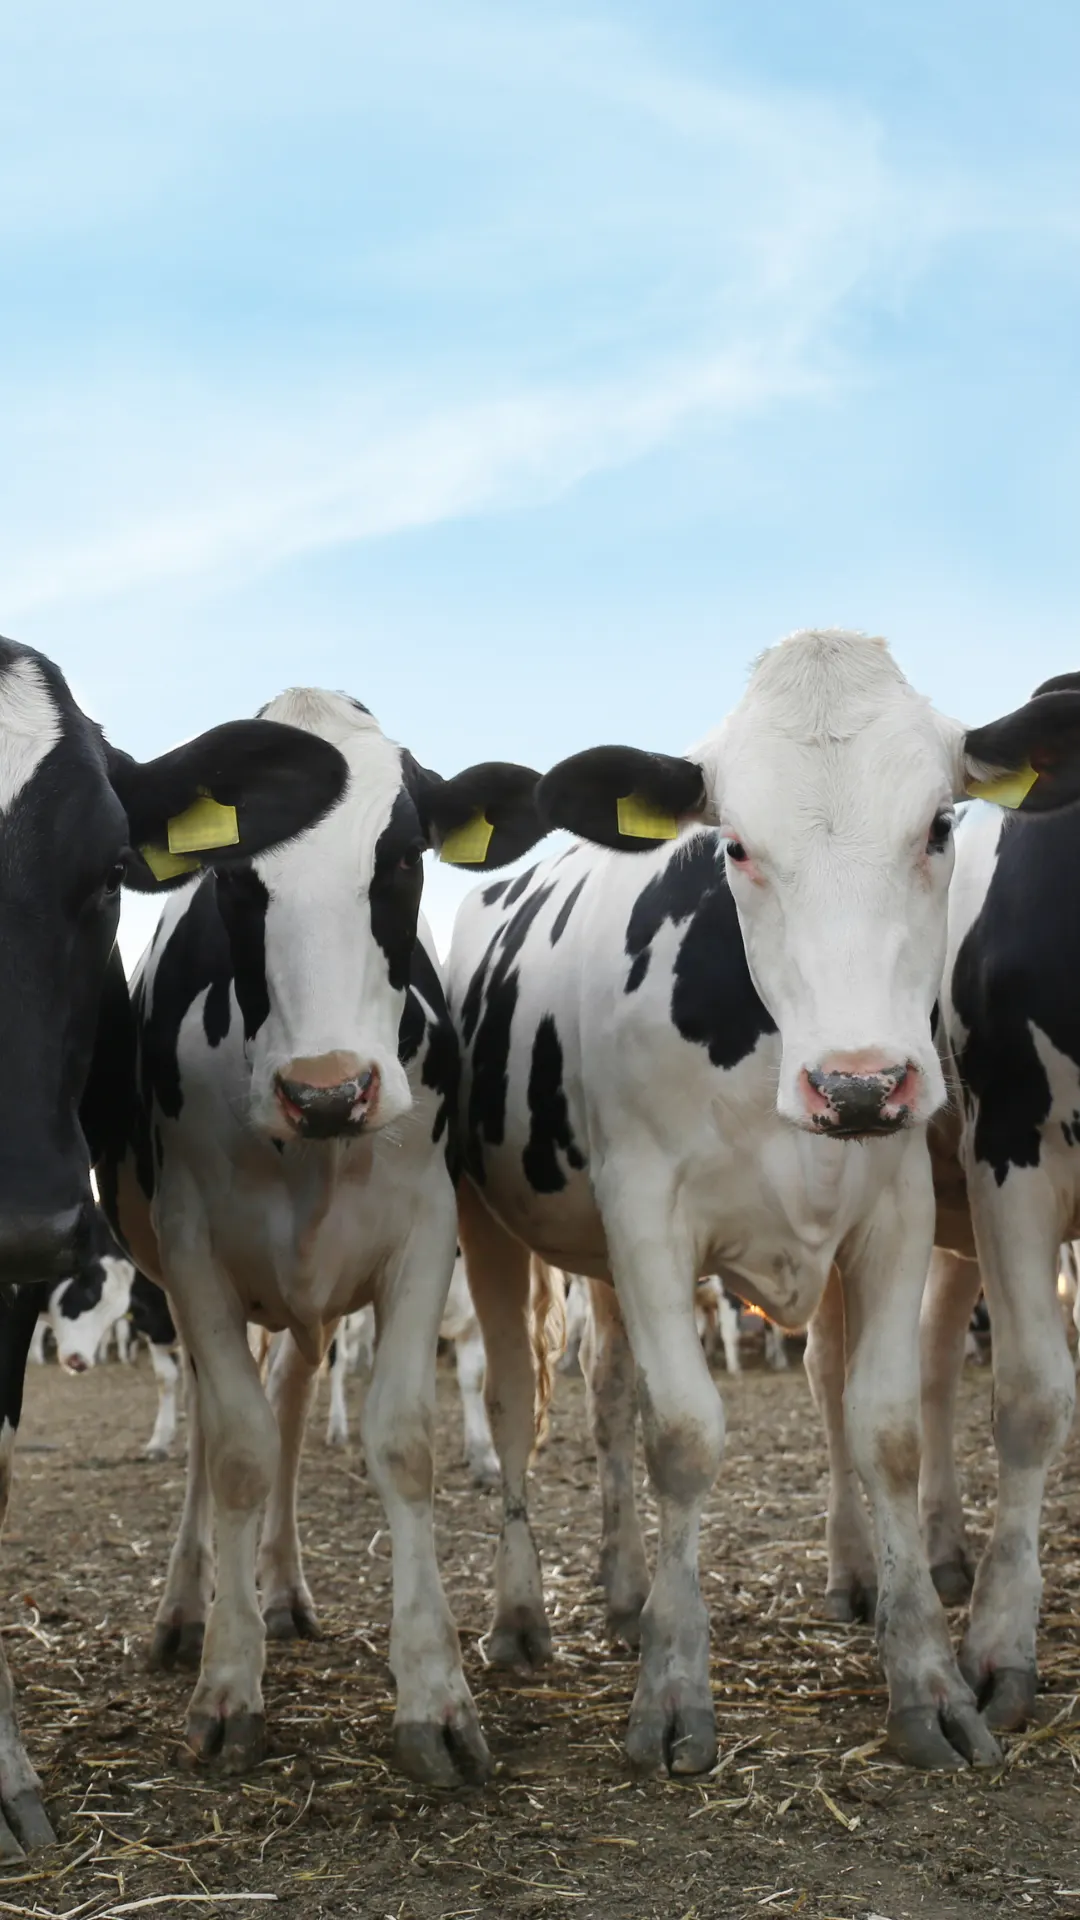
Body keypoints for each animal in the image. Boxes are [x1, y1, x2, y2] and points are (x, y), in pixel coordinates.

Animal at [101, 687, 546, 1788]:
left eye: (403, 857)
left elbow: (399, 1441)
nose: (329, 1090)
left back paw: (284, 1587)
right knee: (219, 1434)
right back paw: (189, 1609)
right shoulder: (190, 1253)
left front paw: (435, 1698)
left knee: (295, 1400)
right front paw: (227, 1682)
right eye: (232, 874)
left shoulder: (426, 1231)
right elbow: (236, 1455)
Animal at [448, 627, 1080, 1777]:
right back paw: (524, 1619)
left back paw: (632, 1591)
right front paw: (672, 1691)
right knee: (521, 1404)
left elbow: (883, 1427)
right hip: (489, 1225)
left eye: (939, 825)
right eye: (735, 846)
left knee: (619, 1393)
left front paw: (927, 1682)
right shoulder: (646, 1218)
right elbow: (686, 1437)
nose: (860, 1084)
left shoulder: (895, 1215)